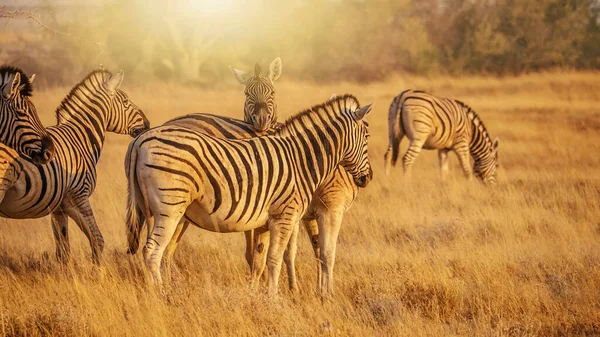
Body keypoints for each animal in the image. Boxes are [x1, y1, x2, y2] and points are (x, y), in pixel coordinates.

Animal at [0, 68, 149, 262]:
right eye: (125, 102)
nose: (148, 123)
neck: (80, 138)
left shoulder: (58, 207)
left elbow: (63, 250)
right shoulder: (78, 196)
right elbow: (97, 240)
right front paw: (97, 270)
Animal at [125, 94, 372, 294]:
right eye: (367, 136)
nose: (368, 178)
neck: (300, 159)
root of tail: (140, 140)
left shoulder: (270, 221)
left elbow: (264, 259)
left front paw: (265, 295)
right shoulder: (292, 215)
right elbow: (283, 258)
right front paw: (277, 299)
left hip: (150, 209)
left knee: (156, 251)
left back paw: (154, 291)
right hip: (170, 209)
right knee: (153, 251)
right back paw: (161, 295)